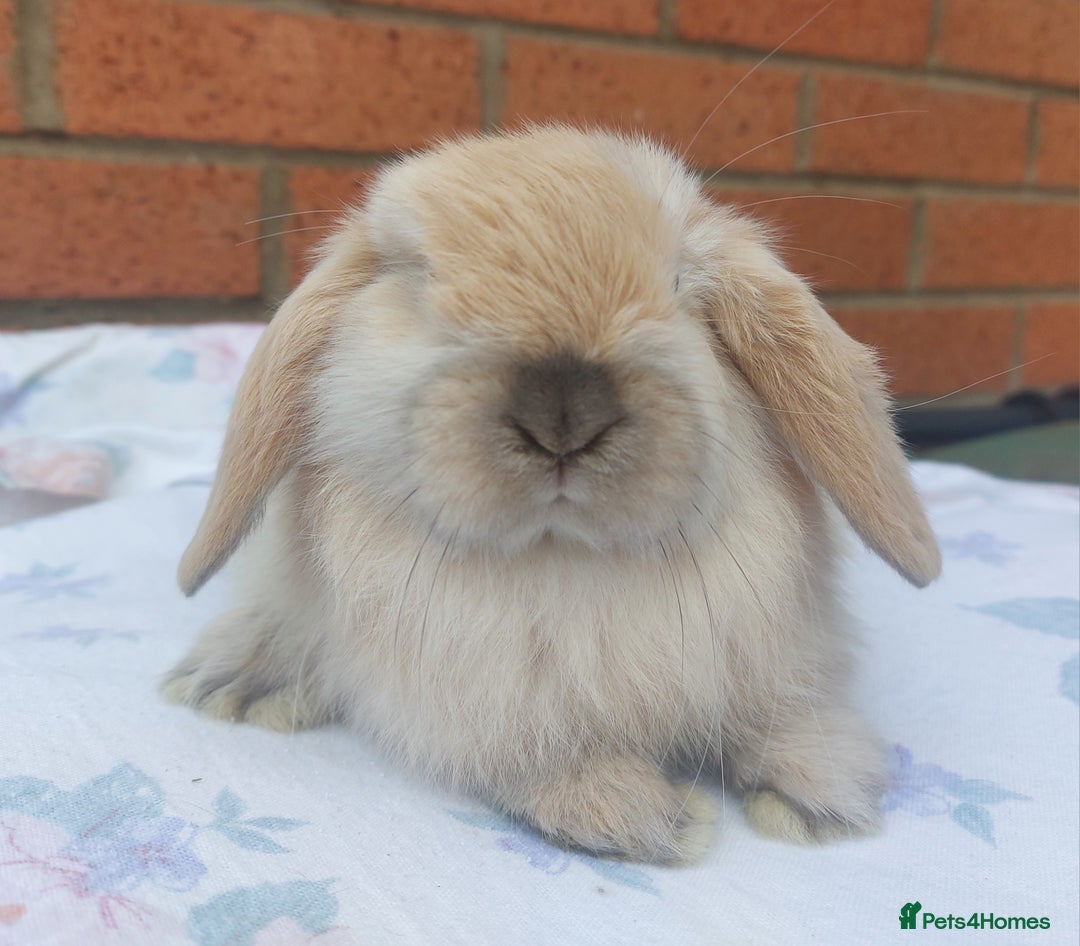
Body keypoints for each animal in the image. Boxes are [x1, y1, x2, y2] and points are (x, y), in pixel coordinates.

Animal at [161, 124, 940, 864]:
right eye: (420, 278)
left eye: (682, 284)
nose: (564, 411)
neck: (569, 562)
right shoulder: (463, 710)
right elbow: (535, 757)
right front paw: (641, 813)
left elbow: (780, 712)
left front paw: (823, 790)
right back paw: (234, 679)